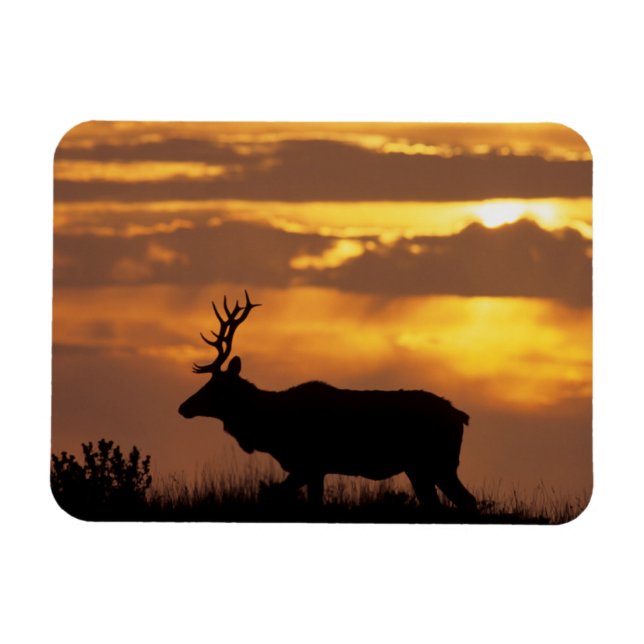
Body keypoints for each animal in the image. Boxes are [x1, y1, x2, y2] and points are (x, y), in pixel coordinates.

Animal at [178, 291, 477, 514]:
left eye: (215, 386)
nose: (183, 407)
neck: (271, 429)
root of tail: (460, 416)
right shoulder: (316, 469)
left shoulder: (308, 463)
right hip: (420, 468)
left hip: (438, 462)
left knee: (467, 501)